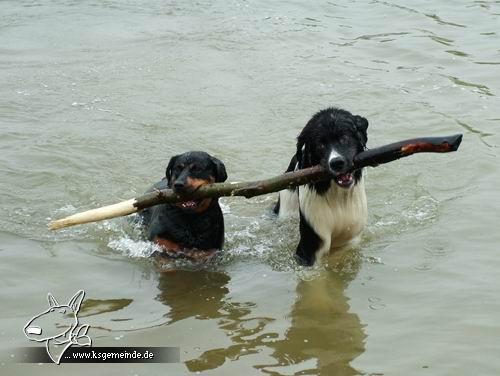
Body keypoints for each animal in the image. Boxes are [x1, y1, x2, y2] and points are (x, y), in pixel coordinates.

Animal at [276, 108, 370, 266]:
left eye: (344, 138)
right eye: (320, 144)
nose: (336, 162)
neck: (338, 198)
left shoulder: (351, 237)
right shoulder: (312, 241)